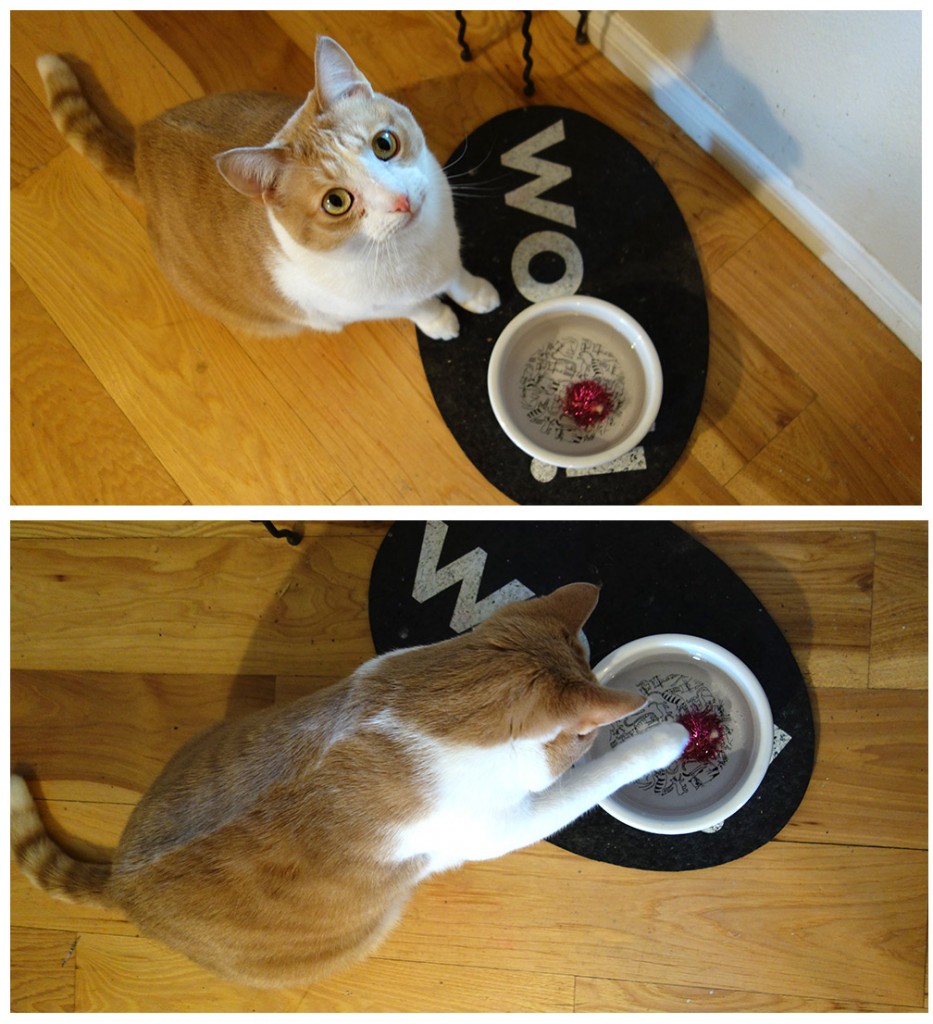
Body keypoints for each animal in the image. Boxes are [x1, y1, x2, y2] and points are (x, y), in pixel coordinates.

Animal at [10, 585, 688, 991]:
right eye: (578, 740)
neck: (425, 710)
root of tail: (121, 882)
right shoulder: (506, 825)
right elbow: (588, 783)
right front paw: (660, 739)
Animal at [37, 36, 499, 337]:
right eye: (336, 202)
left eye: (384, 144)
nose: (400, 201)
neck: (415, 250)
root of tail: (141, 149)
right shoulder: (365, 304)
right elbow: (418, 306)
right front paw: (440, 321)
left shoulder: (448, 252)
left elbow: (457, 276)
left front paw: (476, 294)